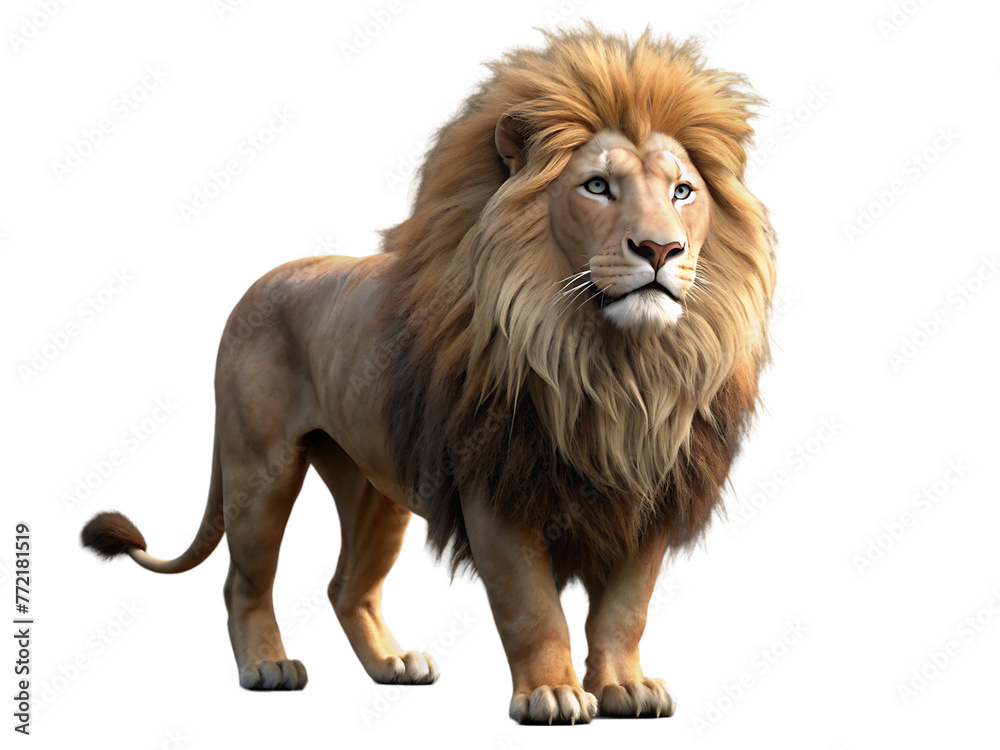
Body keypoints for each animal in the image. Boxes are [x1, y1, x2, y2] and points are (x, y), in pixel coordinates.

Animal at [82, 26, 775, 724]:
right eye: (599, 186)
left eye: (682, 191)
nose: (661, 250)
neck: (610, 363)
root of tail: (257, 286)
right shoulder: (496, 484)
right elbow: (532, 607)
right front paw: (550, 694)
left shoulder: (651, 487)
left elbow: (625, 609)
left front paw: (625, 687)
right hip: (260, 467)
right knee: (242, 580)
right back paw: (267, 666)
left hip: (372, 488)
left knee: (346, 586)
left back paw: (393, 664)